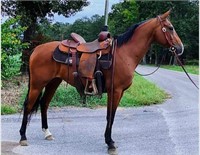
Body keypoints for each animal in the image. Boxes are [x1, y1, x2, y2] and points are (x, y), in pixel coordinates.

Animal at [19, 9, 184, 150]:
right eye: (170, 28)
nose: (180, 48)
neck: (123, 54)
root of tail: (36, 49)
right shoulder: (115, 91)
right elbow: (110, 115)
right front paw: (110, 143)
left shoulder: (119, 92)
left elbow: (111, 115)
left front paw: (108, 140)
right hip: (37, 84)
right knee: (28, 105)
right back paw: (23, 137)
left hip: (53, 82)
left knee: (44, 104)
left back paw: (47, 133)